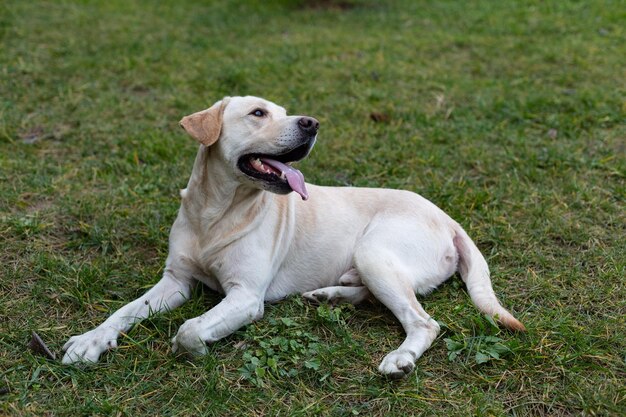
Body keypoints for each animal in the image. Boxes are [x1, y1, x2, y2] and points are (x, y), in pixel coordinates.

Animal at [62, 95, 520, 376]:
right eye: (258, 113)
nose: (312, 123)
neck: (217, 213)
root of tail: (449, 218)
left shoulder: (246, 296)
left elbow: (190, 329)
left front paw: (195, 348)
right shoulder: (175, 281)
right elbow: (124, 312)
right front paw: (90, 342)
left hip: (374, 251)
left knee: (423, 322)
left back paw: (400, 357)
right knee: (372, 294)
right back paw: (329, 295)